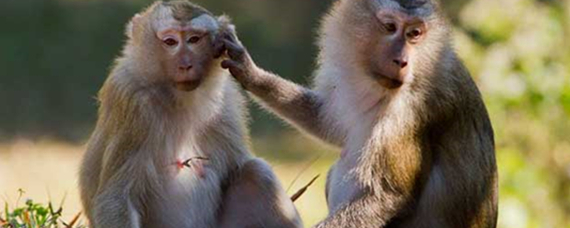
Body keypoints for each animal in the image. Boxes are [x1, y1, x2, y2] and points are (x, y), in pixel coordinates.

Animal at [77, 0, 304, 227]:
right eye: (170, 42)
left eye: (194, 39)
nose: (186, 64)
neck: (179, 97)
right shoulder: (132, 101)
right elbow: (116, 198)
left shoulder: (226, 101)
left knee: (257, 173)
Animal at [219, 0, 496, 228]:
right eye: (390, 27)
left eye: (414, 33)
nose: (402, 61)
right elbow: (327, 123)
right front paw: (251, 74)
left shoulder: (408, 109)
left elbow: (388, 196)